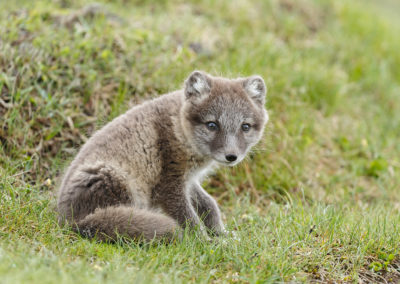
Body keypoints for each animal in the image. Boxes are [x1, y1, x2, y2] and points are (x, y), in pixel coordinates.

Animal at [56, 71, 268, 242]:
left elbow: (209, 204)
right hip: (114, 181)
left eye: (245, 126)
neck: (178, 126)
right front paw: (205, 242)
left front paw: (221, 233)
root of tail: (68, 221)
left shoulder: (188, 180)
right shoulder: (169, 184)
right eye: (212, 125)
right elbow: (188, 217)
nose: (231, 156)